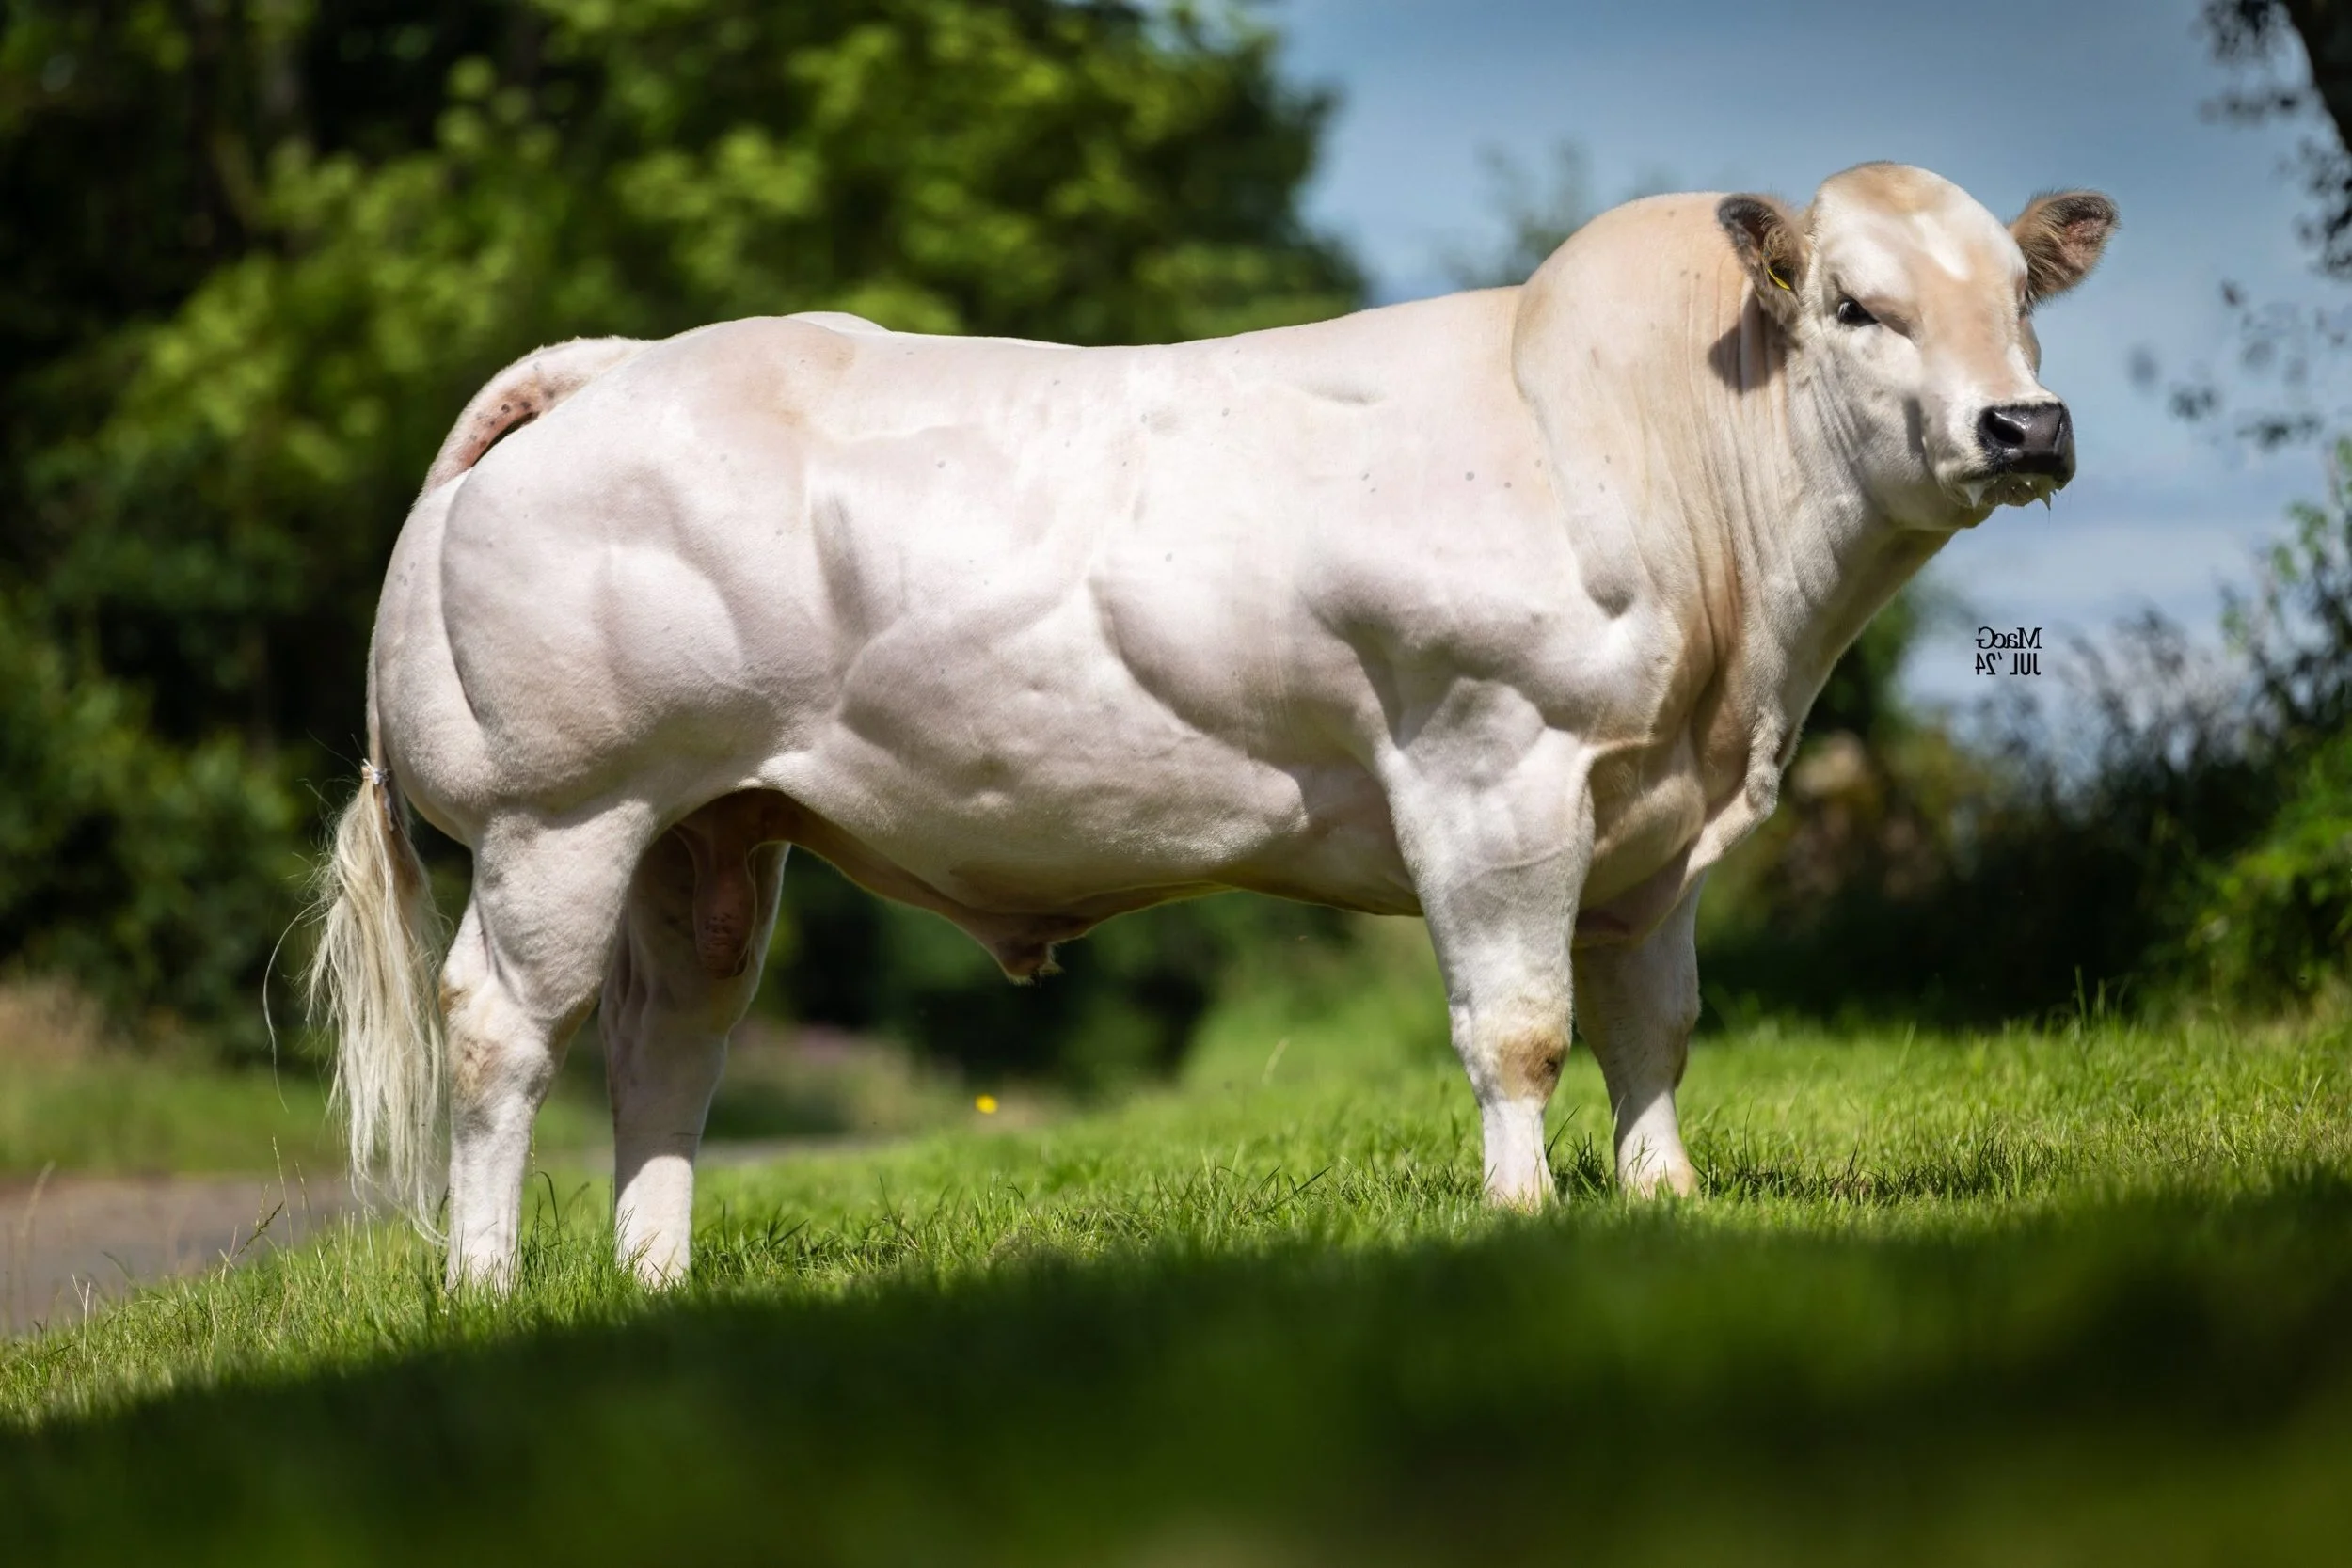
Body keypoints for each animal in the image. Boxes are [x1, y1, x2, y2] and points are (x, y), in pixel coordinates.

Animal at [309, 162, 2115, 1288]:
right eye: (1859, 306)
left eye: (2025, 296)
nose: (2026, 423)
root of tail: (616, 362)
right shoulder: (1493, 765)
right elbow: (1521, 1027)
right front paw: (1523, 1209)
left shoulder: (1650, 826)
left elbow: (1652, 1027)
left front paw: (1668, 1200)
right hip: (563, 812)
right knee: (504, 1028)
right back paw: (488, 1284)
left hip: (708, 826)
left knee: (668, 1038)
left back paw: (656, 1279)